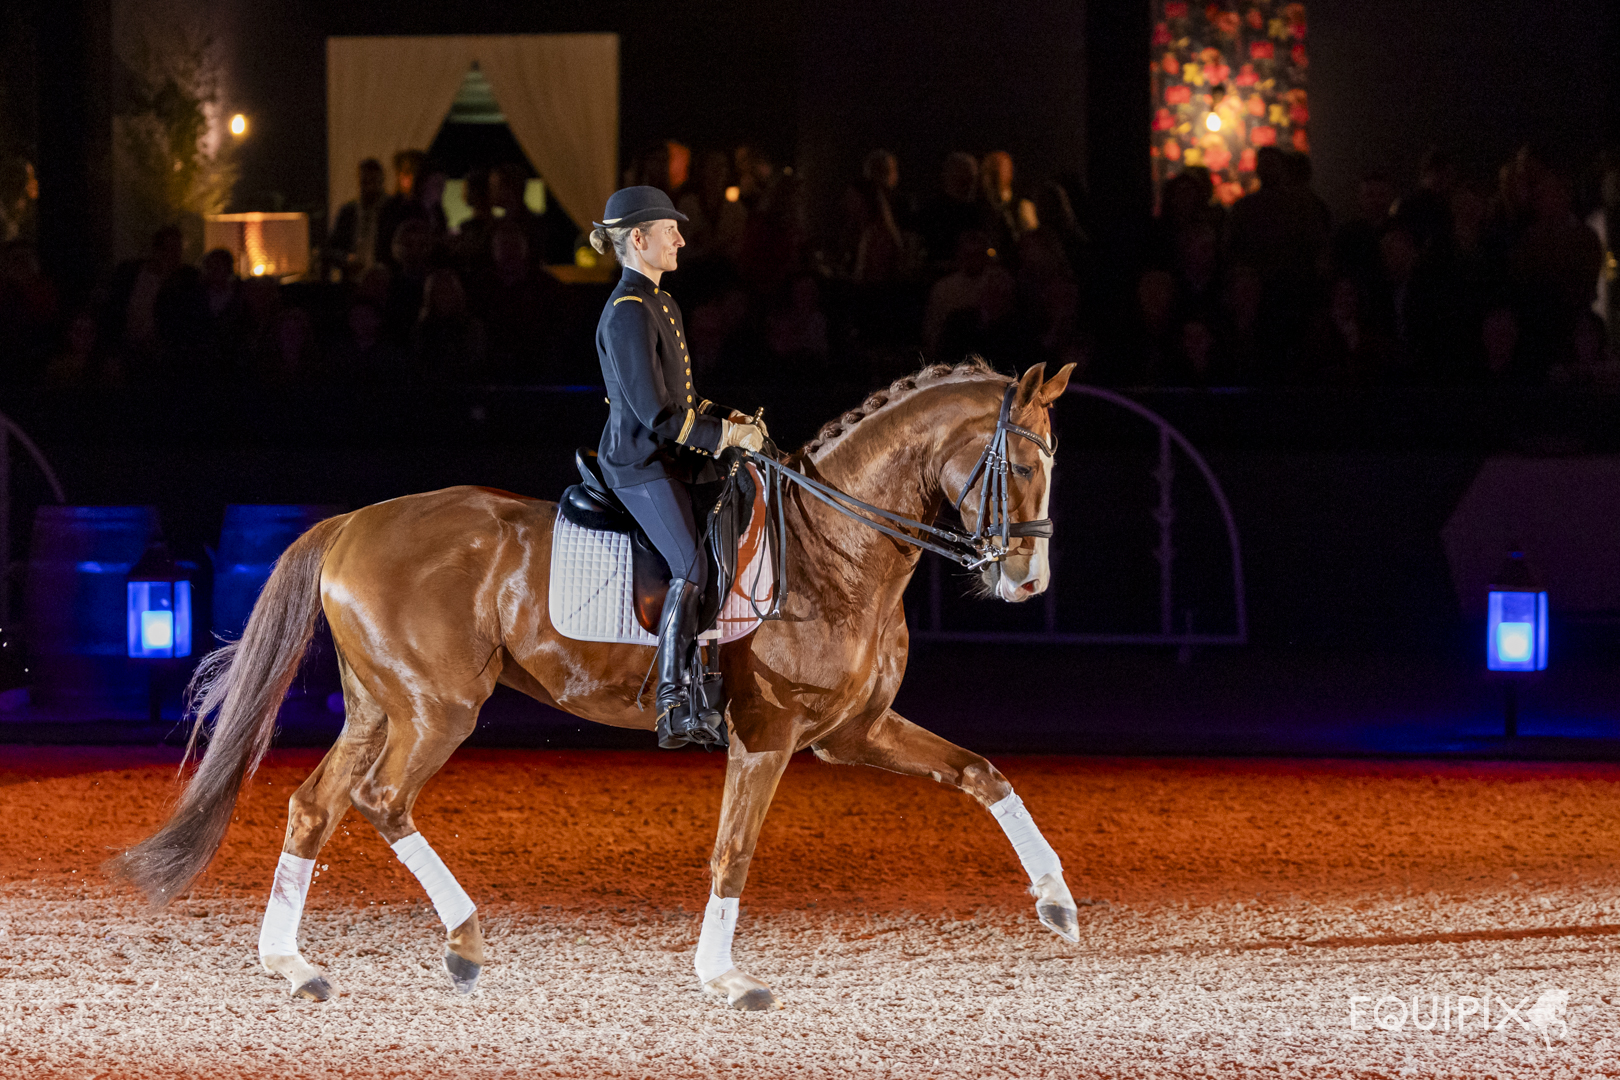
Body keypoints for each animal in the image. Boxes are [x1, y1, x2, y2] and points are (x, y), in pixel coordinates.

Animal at [114, 359, 1075, 1010]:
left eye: (1054, 463)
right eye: (1023, 465)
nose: (1028, 581)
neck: (835, 544)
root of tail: (353, 522)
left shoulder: (853, 732)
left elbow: (983, 773)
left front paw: (1058, 903)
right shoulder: (767, 735)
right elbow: (734, 849)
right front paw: (725, 977)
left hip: (380, 707)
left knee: (316, 805)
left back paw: (293, 964)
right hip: (436, 709)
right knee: (382, 801)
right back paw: (462, 941)